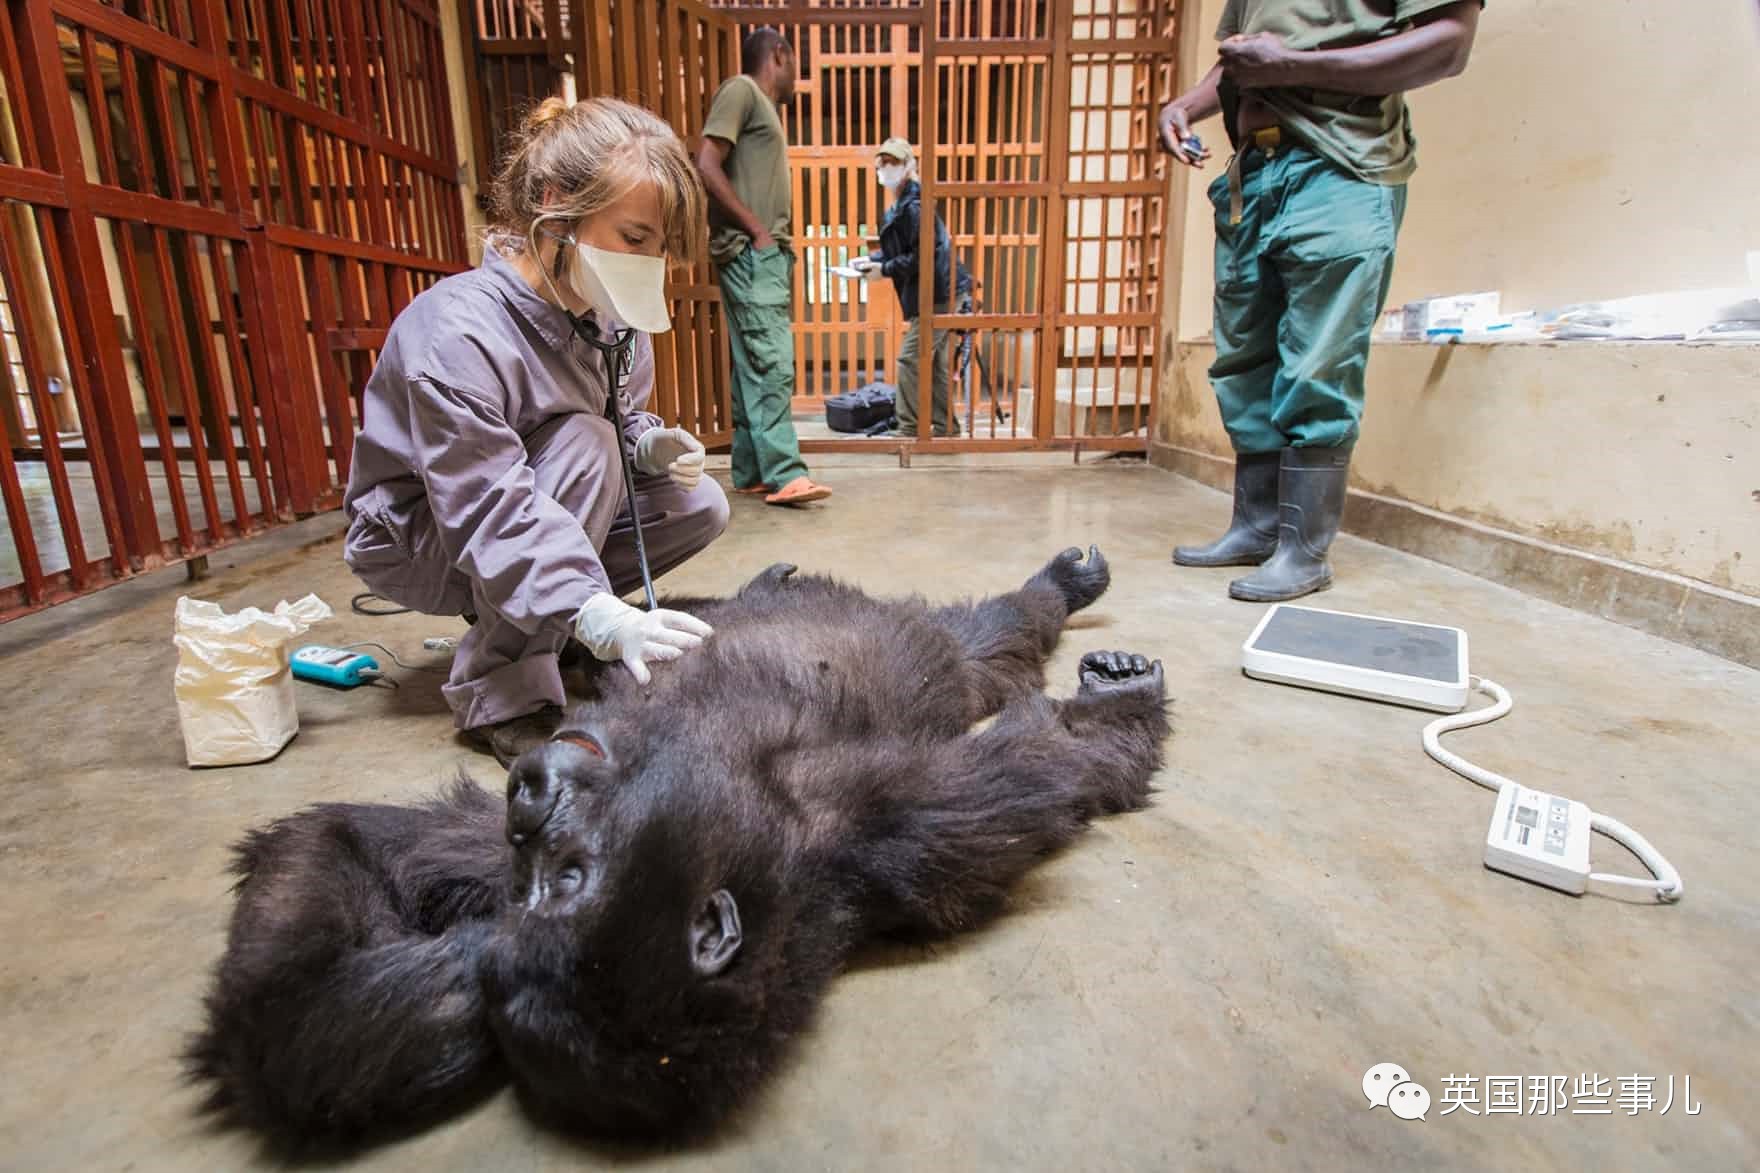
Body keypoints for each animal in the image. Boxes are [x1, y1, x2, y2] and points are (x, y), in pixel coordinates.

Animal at [189, 545, 1168, 1141]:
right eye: (538, 881)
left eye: (569, 879)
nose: (529, 795)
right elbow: (306, 971)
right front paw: (458, 962)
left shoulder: (885, 827)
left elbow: (1055, 761)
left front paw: (1110, 710)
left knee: (981, 647)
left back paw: (1057, 589)